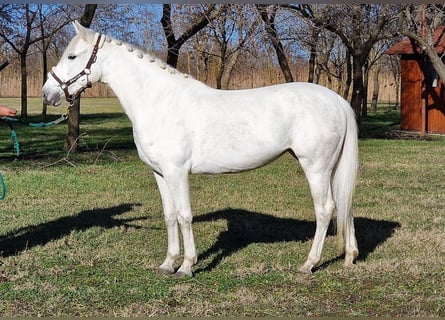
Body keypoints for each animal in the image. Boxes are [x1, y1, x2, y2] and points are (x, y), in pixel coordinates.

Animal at [42, 21, 358, 278]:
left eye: (72, 56)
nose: (48, 94)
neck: (160, 101)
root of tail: (337, 101)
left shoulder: (177, 172)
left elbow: (184, 215)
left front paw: (186, 266)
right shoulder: (160, 174)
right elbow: (169, 216)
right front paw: (168, 264)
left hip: (315, 167)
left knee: (325, 209)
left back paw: (309, 264)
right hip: (331, 169)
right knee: (344, 205)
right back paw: (349, 257)